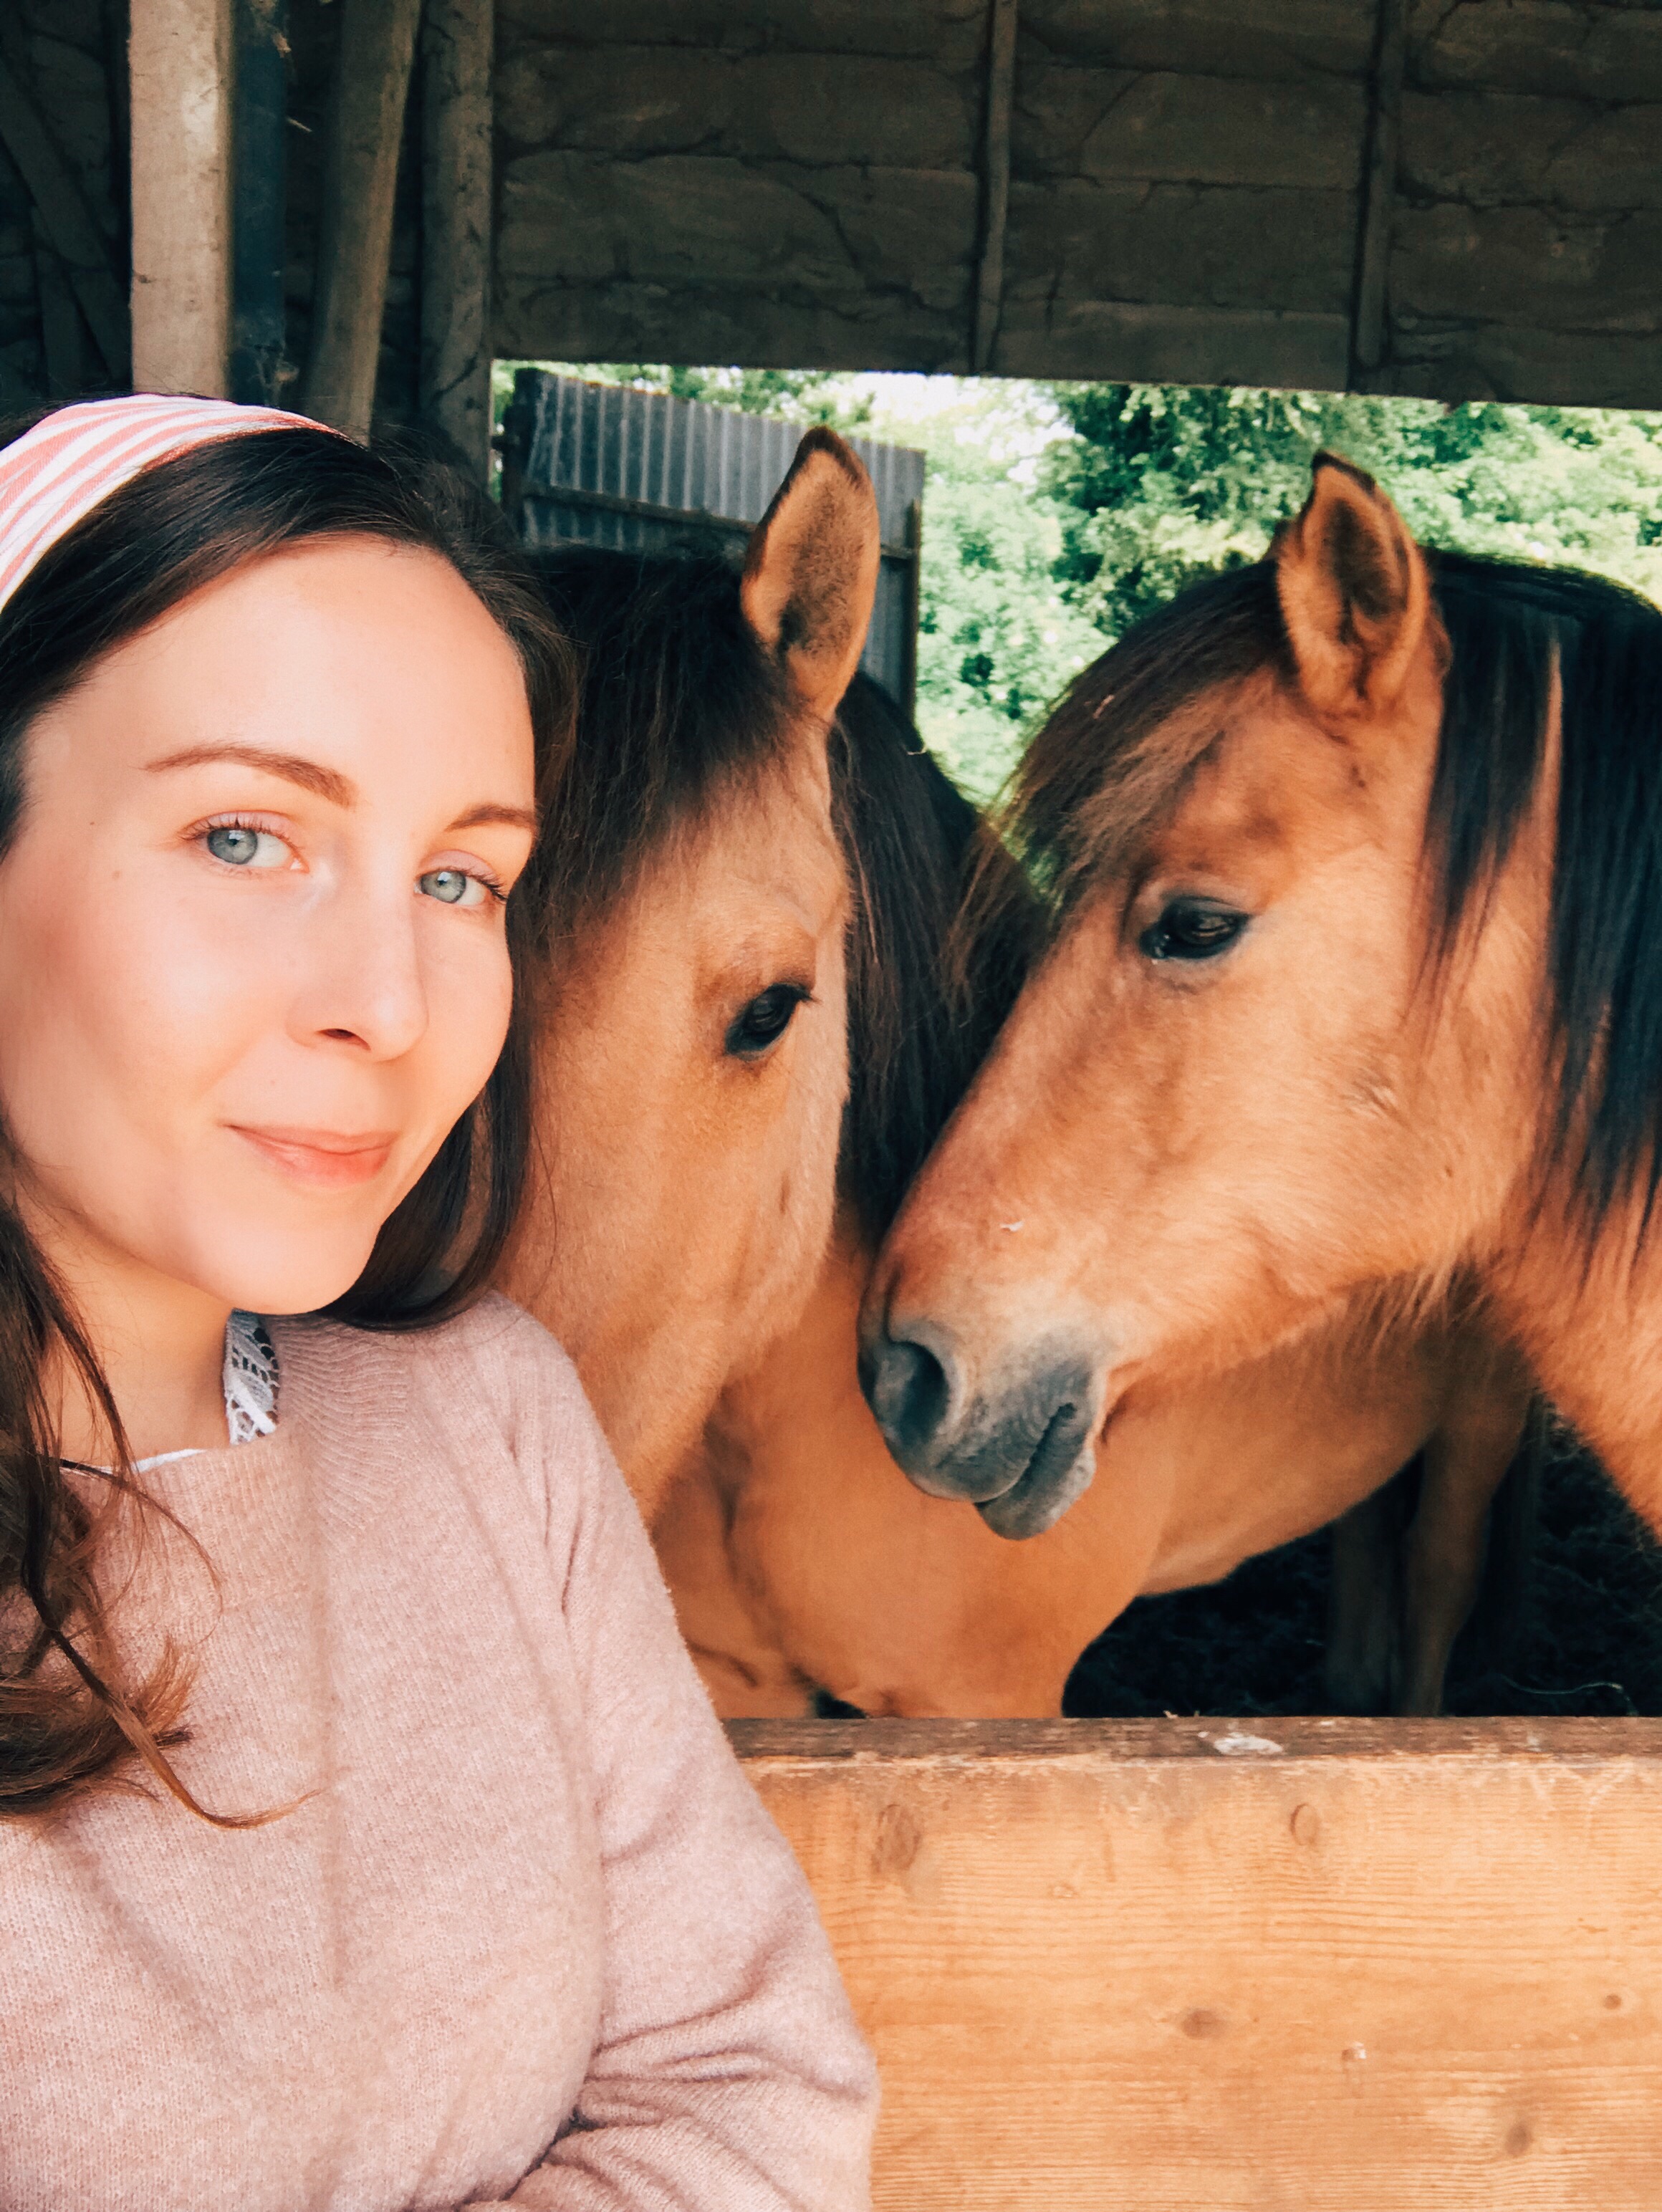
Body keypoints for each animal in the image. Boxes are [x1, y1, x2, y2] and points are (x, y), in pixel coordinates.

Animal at [650, 676, 1531, 1725]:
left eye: (769, 1007)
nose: (915, 1382)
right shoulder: (738, 1682)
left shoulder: (985, 1697)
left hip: (1484, 1418)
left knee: (1441, 1570)